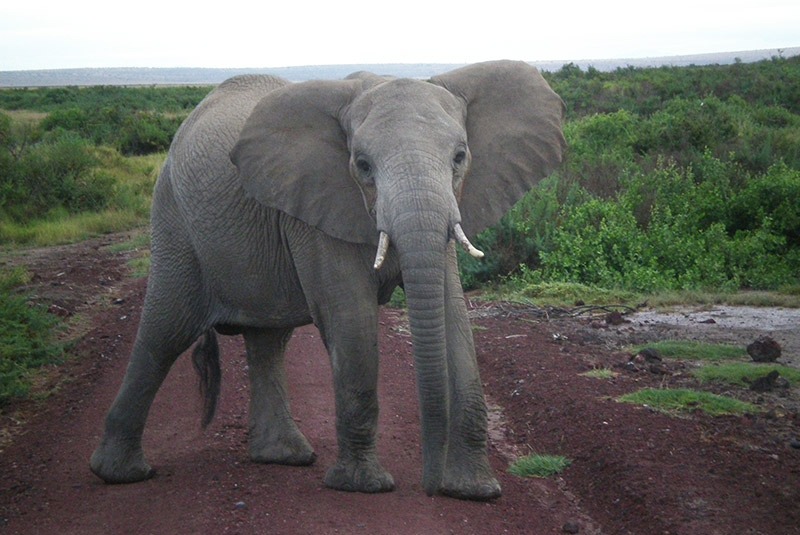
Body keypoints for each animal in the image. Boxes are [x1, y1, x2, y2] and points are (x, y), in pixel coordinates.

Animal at [90, 60, 564, 500]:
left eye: (460, 157)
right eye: (363, 165)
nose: (430, 488)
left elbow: (454, 316)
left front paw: (474, 491)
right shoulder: (315, 205)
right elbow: (350, 320)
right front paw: (363, 486)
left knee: (268, 339)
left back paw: (284, 456)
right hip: (175, 221)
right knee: (164, 333)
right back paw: (120, 474)